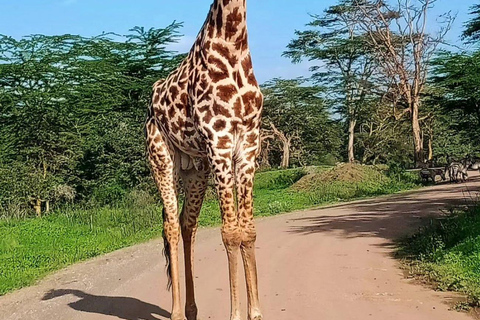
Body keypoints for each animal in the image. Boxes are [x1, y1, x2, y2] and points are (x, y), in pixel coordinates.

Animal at [146, 0, 264, 320]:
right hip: (161, 159)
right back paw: (175, 312)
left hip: (196, 171)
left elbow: (248, 231)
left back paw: (191, 309)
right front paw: (236, 315)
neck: (234, 42)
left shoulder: (249, 142)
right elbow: (230, 233)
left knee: (188, 225)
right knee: (171, 226)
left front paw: (256, 313)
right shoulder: (219, 141)